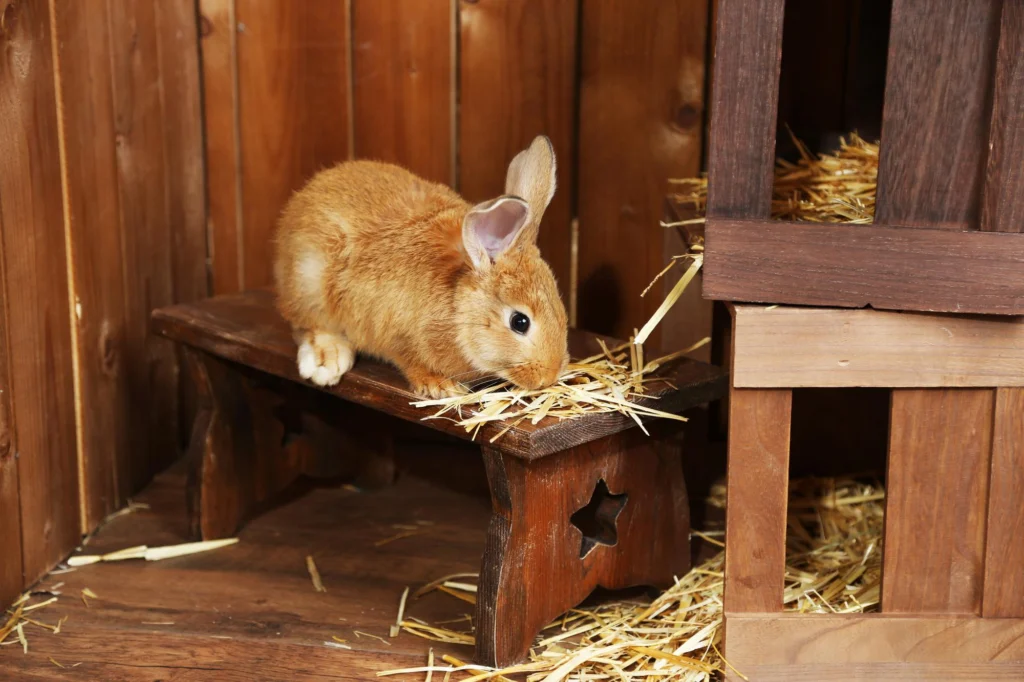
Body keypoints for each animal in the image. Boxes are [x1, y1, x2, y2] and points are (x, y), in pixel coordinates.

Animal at [272, 134, 569, 399]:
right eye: (520, 322)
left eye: (560, 309)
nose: (549, 375)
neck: (457, 307)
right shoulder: (394, 332)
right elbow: (409, 361)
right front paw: (439, 385)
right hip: (308, 282)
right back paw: (327, 360)